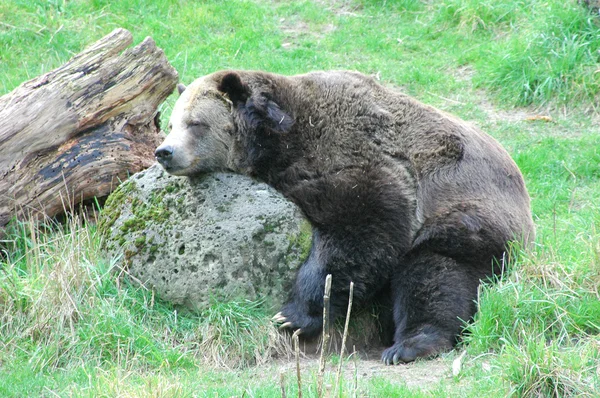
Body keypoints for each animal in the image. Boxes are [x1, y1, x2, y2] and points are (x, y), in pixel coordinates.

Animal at [155, 69, 536, 364]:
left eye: (195, 123)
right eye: (170, 123)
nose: (164, 152)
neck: (281, 142)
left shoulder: (355, 157)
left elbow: (363, 233)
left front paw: (292, 315)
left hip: (469, 214)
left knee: (435, 273)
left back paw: (410, 345)